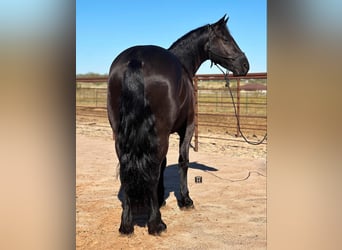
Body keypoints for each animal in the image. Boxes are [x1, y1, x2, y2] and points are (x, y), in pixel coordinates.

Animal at [107, 15, 248, 234]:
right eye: (226, 39)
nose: (245, 65)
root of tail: (136, 60)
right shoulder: (186, 128)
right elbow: (183, 161)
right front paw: (185, 200)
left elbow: (164, 164)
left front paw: (160, 198)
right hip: (159, 134)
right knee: (152, 169)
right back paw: (156, 223)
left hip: (121, 136)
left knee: (126, 168)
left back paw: (127, 224)